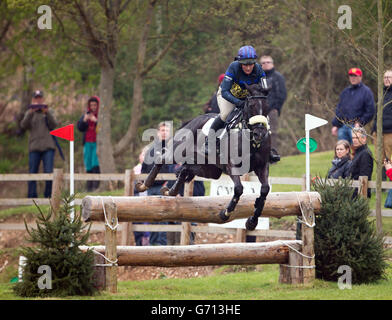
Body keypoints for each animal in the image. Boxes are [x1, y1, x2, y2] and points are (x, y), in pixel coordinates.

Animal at [136, 82, 272, 230]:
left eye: (267, 107)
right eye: (251, 105)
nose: (260, 134)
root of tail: (194, 120)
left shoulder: (262, 166)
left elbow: (265, 189)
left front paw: (252, 221)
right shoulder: (231, 165)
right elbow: (238, 189)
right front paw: (225, 213)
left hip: (211, 170)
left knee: (185, 170)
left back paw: (169, 191)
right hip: (179, 152)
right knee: (162, 160)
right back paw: (144, 185)